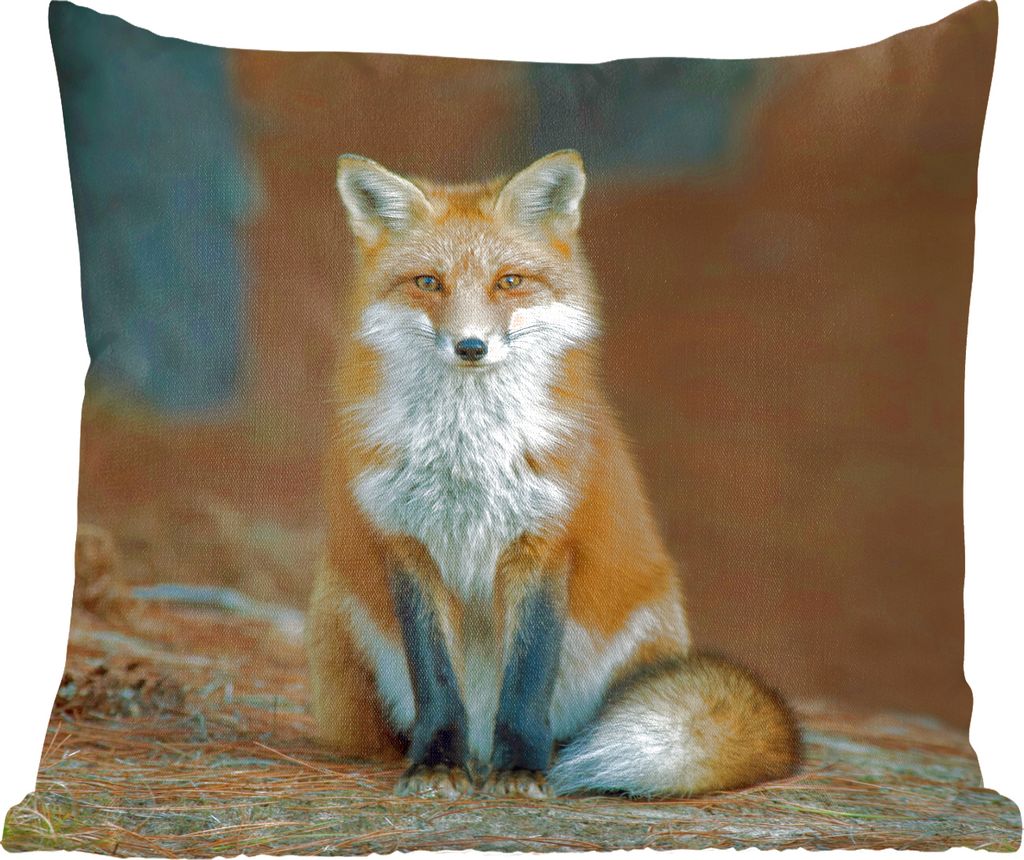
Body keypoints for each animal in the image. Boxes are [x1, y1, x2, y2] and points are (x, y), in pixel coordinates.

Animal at [307, 149, 799, 799]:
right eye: (428, 282)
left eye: (509, 281)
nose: (471, 346)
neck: (467, 456)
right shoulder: (408, 544)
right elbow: (435, 678)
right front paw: (435, 760)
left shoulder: (543, 543)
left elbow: (528, 675)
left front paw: (520, 767)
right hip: (335, 608)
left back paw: (545, 756)